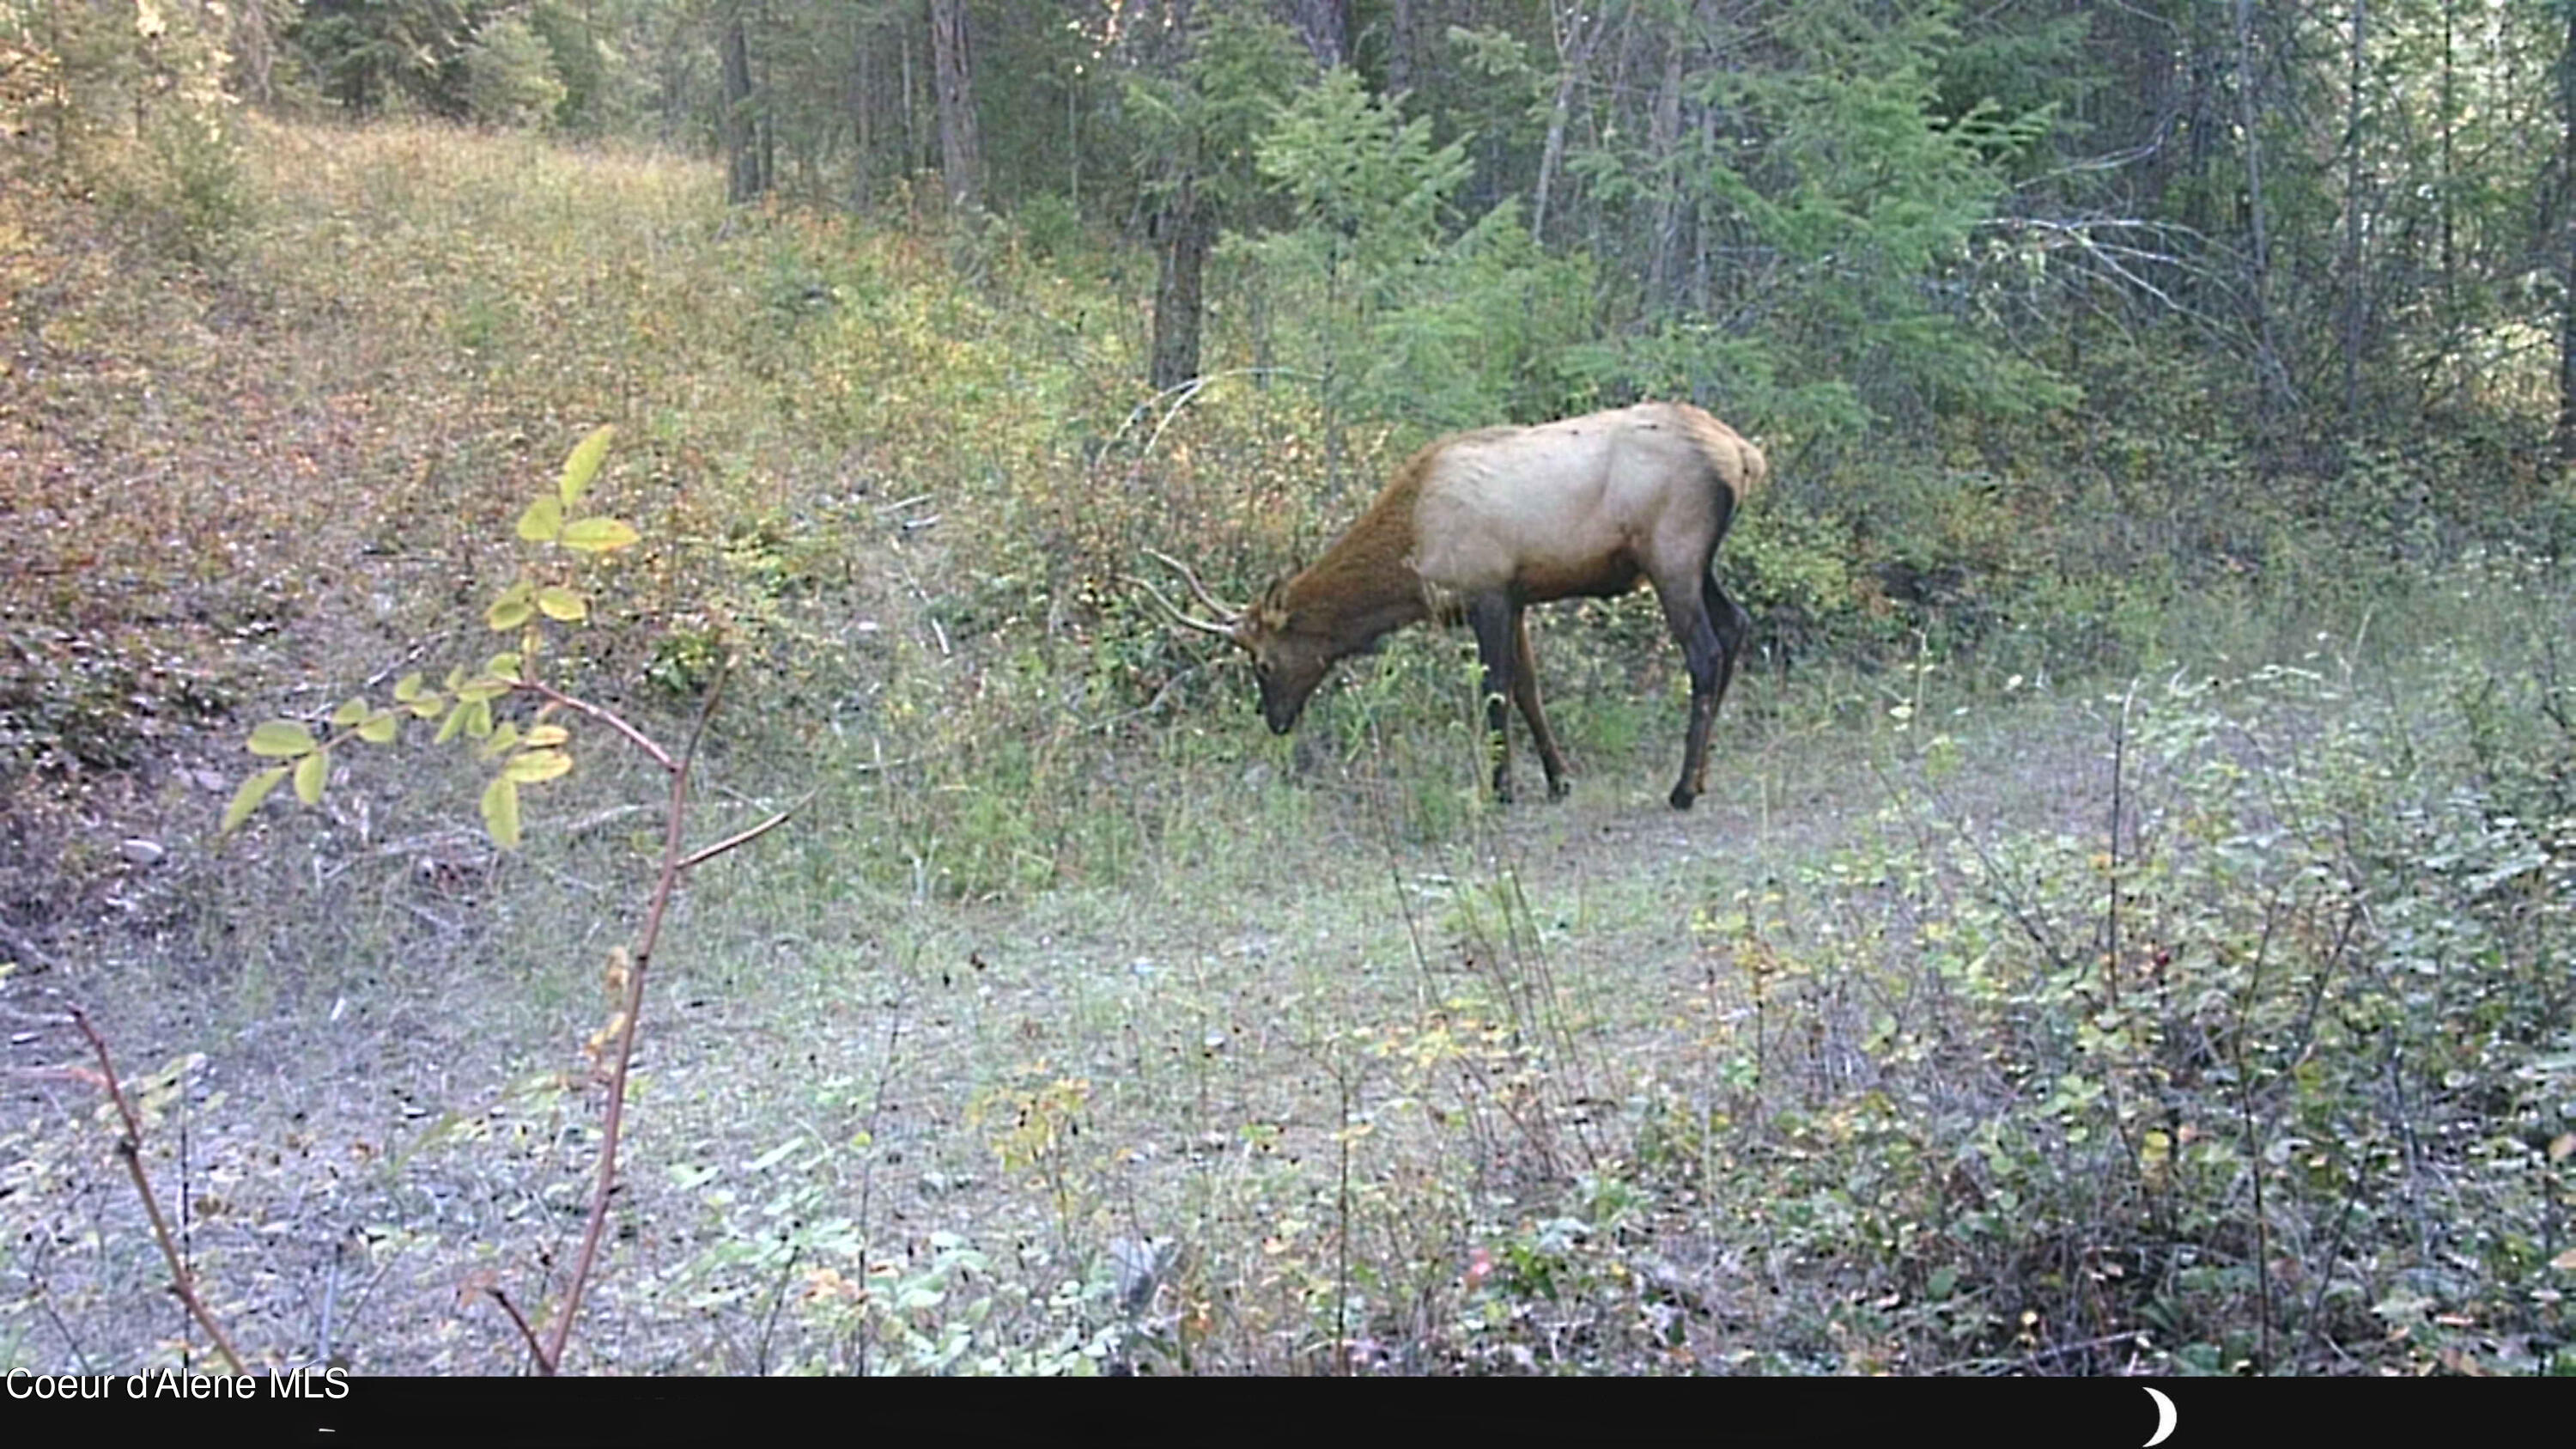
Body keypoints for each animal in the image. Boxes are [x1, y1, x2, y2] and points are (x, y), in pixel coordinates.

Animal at [1154, 399, 1772, 804]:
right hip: (1698, 563)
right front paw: (1557, 779)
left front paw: (1501, 788)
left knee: (1705, 653)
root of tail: (1744, 455)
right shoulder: (1517, 596)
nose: (1275, 720)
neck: (1410, 555)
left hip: (1672, 555)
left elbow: (1496, 690)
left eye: (1263, 662)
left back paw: (1682, 788)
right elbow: (1528, 689)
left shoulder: (1487, 591)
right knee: (1737, 626)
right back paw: (1702, 775)